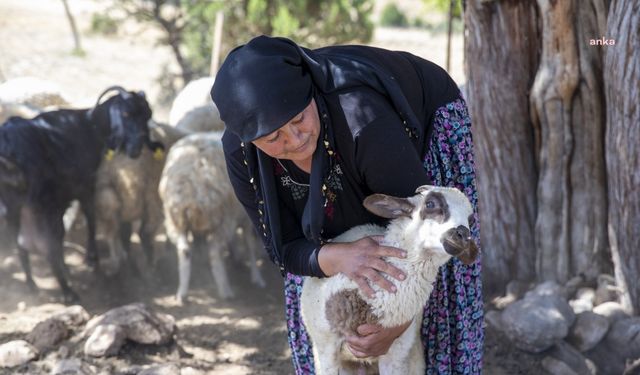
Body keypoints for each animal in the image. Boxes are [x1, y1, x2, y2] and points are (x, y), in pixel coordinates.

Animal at [0, 86, 154, 302]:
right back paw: (69, 293)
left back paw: (32, 284)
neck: (90, 125)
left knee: (21, 243)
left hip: (14, 205)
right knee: (45, 245)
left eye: (147, 114)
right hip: (41, 205)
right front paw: (92, 259)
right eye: (125, 113)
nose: (136, 149)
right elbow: (90, 216)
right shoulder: (86, 185)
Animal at [159, 131, 266, 302]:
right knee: (214, 253)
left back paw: (182, 292)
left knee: (184, 251)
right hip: (221, 219)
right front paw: (257, 277)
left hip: (176, 220)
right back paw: (225, 289)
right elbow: (249, 244)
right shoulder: (247, 218)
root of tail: (189, 187)